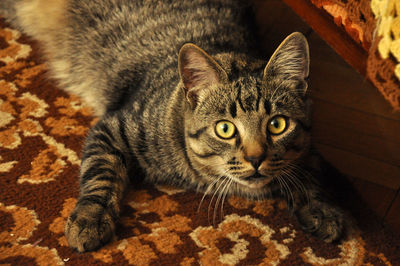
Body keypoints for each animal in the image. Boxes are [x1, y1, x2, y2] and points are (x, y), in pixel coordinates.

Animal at [0, 0, 346, 251]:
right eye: (225, 129)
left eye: (277, 124)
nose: (256, 158)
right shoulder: (112, 127)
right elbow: (101, 174)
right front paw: (90, 219)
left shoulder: (309, 148)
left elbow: (310, 170)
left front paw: (321, 208)